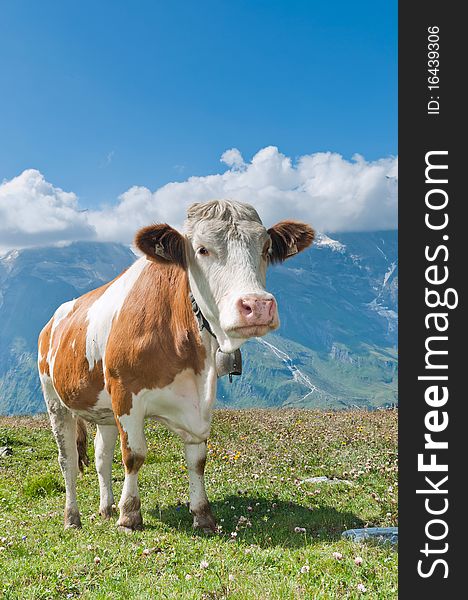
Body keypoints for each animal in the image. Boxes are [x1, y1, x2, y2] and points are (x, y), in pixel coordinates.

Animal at [37, 199, 314, 532]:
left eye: (265, 247)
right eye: (202, 249)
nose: (257, 306)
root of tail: (53, 320)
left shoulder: (198, 403)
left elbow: (197, 458)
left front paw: (202, 514)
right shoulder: (125, 395)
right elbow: (134, 455)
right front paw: (129, 515)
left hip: (102, 410)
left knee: (101, 455)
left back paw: (105, 508)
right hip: (55, 400)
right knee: (67, 460)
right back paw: (72, 517)